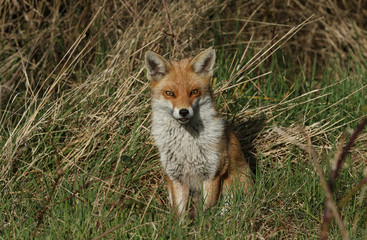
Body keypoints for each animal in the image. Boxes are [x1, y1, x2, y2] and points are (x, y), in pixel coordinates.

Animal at [145, 47, 252, 219]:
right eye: (170, 93)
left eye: (194, 91)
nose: (183, 111)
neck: (187, 145)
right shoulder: (176, 178)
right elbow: (179, 216)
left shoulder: (212, 174)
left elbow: (205, 213)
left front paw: (203, 225)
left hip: (234, 190)